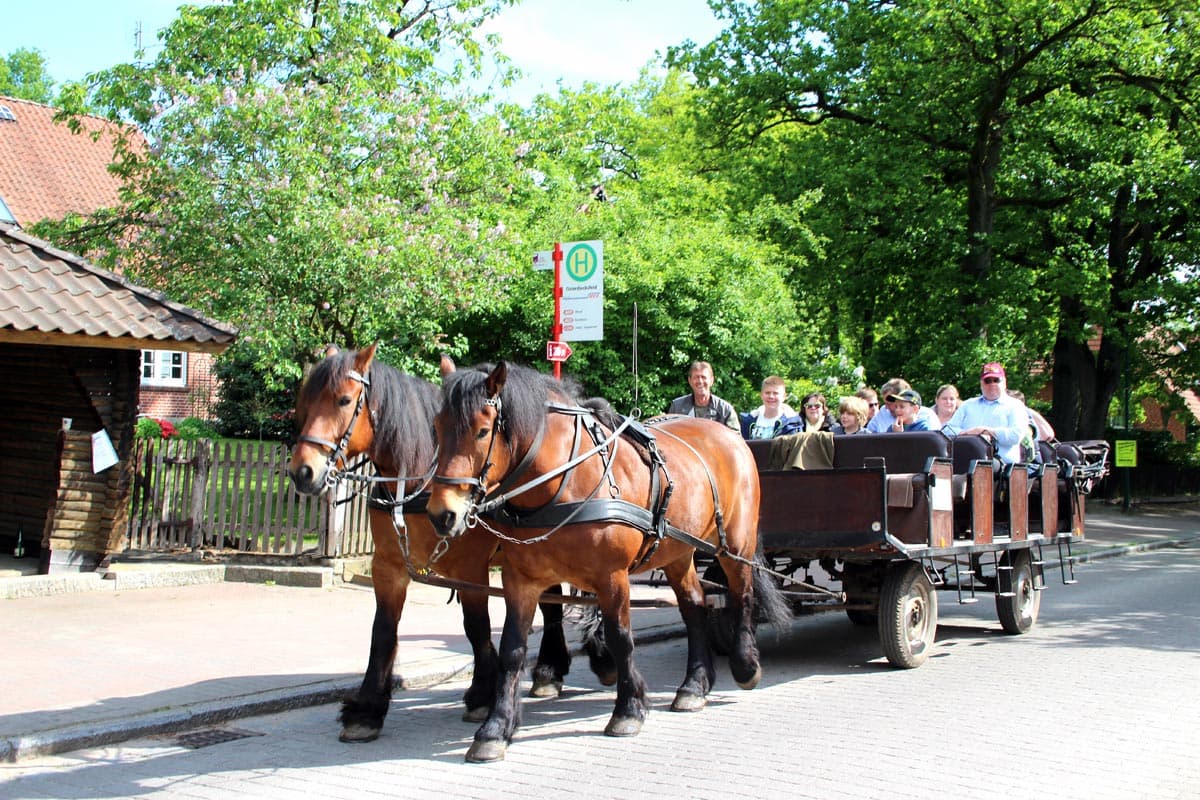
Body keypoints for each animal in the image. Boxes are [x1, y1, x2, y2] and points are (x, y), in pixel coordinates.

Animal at [285, 345, 595, 743]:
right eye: (305, 403)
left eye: (343, 400)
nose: (302, 472)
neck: (420, 477)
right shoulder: (388, 567)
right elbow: (383, 632)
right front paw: (367, 709)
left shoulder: (471, 568)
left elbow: (476, 628)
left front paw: (482, 694)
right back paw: (549, 671)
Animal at [427, 362, 782, 762]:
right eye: (437, 428)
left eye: (483, 430)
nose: (442, 514)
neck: (563, 480)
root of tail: (729, 436)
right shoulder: (521, 580)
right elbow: (513, 649)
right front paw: (495, 727)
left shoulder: (611, 577)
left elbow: (620, 637)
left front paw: (628, 709)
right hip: (677, 552)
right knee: (694, 606)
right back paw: (694, 684)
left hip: (735, 544)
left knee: (742, 596)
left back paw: (745, 664)